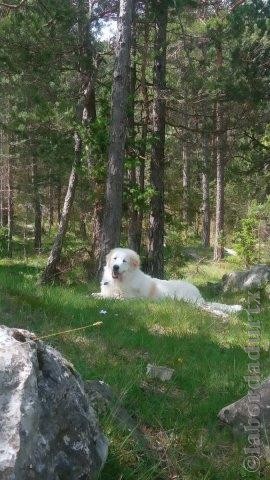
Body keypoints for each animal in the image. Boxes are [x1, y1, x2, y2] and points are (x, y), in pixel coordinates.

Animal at [93, 248, 243, 316]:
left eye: (124, 261)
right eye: (115, 259)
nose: (115, 267)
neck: (121, 280)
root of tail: (197, 291)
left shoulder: (129, 298)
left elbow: (112, 297)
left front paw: (103, 297)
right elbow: (99, 294)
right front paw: (95, 295)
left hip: (188, 300)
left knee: (208, 308)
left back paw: (222, 315)